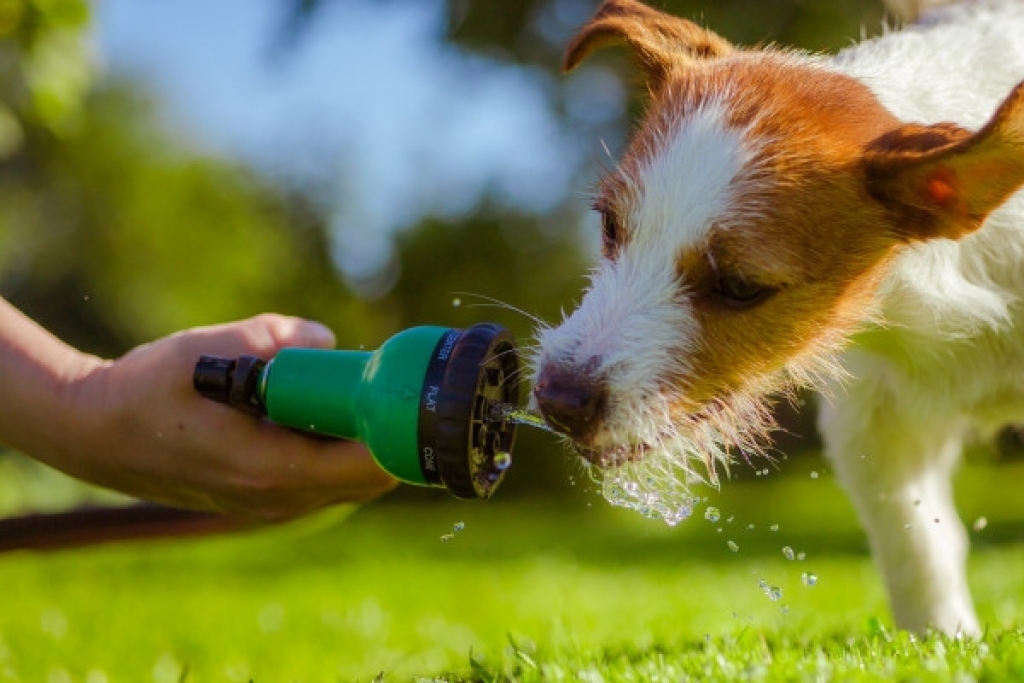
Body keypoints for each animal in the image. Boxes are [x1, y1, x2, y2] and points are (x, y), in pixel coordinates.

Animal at [532, 0, 1024, 634]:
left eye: (740, 287)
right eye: (610, 226)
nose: (559, 401)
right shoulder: (872, 422)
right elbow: (916, 542)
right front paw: (942, 640)